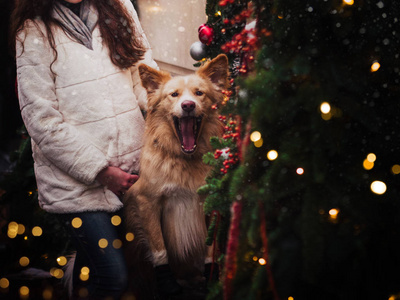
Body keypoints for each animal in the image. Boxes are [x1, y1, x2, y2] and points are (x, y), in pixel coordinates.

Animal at [125, 54, 230, 288]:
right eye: (174, 95)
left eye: (199, 93)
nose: (188, 105)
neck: (185, 160)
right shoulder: (147, 201)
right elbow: (159, 248)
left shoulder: (210, 202)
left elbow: (210, 248)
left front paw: (212, 274)